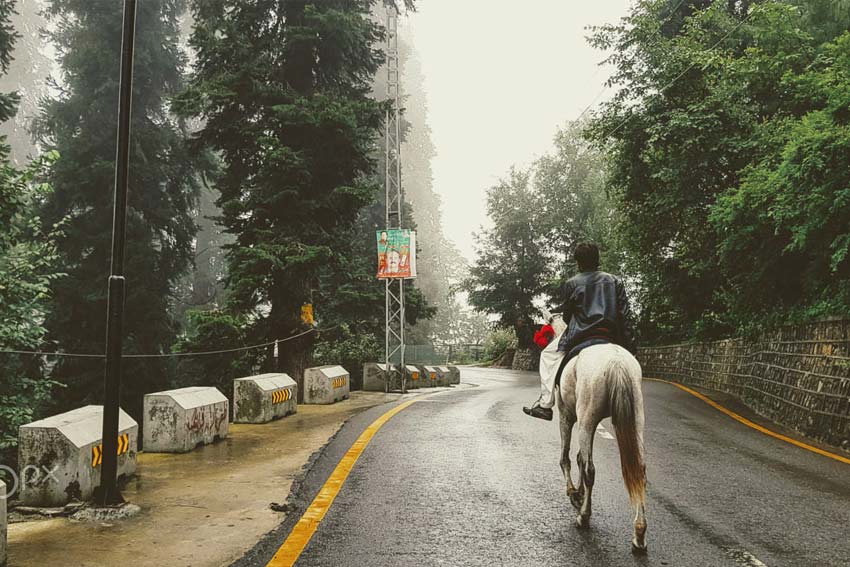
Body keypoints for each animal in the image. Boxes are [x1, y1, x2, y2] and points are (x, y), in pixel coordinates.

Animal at [552, 340, 644, 552]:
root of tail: (617, 363)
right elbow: (579, 456)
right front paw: (579, 491)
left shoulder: (566, 413)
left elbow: (566, 457)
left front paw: (573, 492)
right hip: (636, 417)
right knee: (640, 472)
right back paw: (639, 534)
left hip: (587, 416)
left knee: (589, 470)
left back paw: (584, 517)